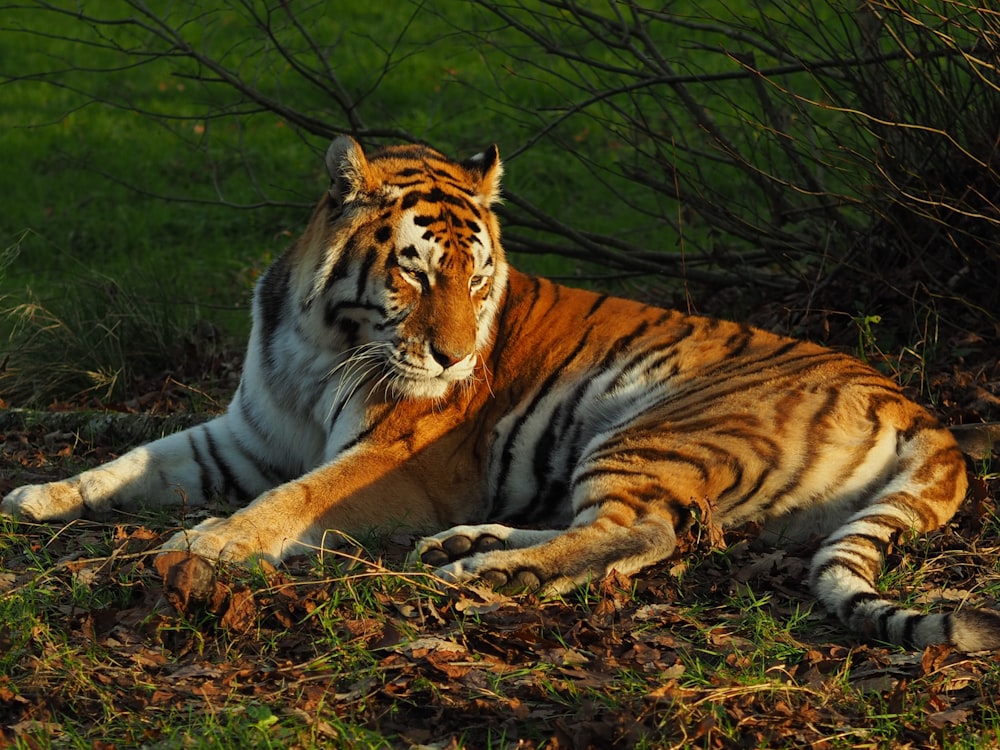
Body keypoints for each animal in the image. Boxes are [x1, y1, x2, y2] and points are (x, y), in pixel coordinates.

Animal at [3, 137, 996, 652]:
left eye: (477, 280)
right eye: (413, 271)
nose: (450, 361)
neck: (315, 345)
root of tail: (917, 407)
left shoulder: (391, 461)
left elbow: (294, 500)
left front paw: (205, 546)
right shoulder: (243, 436)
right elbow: (129, 460)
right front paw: (35, 495)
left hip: (655, 428)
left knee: (643, 533)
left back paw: (483, 572)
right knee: (630, 535)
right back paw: (471, 546)